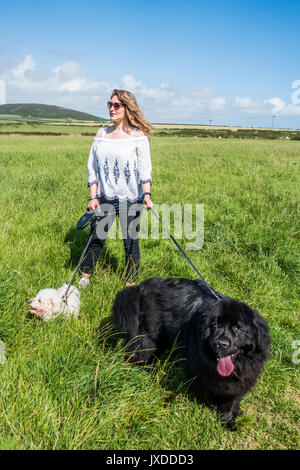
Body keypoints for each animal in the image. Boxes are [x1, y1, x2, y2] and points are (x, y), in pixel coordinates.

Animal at [111, 278, 270, 432]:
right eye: (216, 325)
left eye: (237, 328)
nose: (221, 343)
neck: (238, 364)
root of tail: (142, 286)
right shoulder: (201, 369)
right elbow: (208, 391)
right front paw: (222, 416)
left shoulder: (243, 380)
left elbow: (232, 399)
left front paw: (232, 415)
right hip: (149, 336)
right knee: (140, 351)